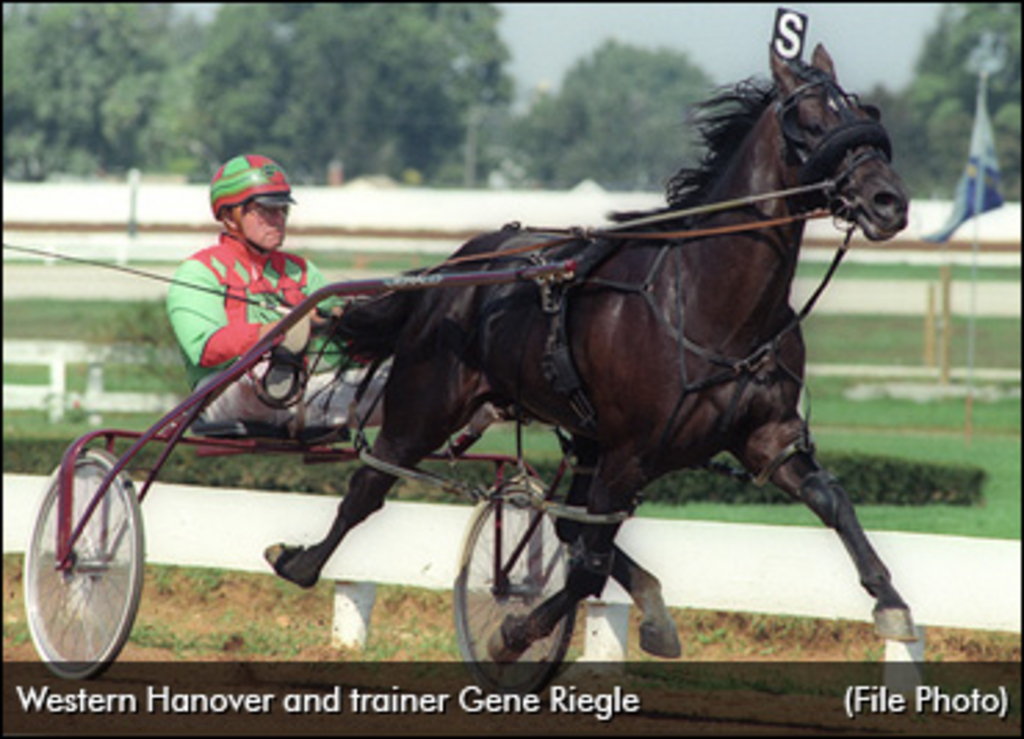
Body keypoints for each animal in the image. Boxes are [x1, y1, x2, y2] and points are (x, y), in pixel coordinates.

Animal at [268, 43, 917, 659]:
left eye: (865, 114)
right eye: (809, 119)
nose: (890, 201)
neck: (708, 301)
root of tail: (454, 267)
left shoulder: (766, 436)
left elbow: (833, 501)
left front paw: (891, 602)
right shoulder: (630, 452)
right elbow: (584, 572)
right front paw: (514, 633)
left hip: (584, 436)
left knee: (571, 522)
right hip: (426, 403)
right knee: (370, 484)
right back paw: (299, 562)